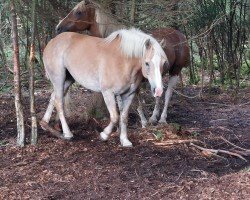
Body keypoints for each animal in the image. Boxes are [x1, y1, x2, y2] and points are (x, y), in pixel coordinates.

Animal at [56, 0, 189, 125]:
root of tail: (179, 34)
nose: (58, 27)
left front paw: (143, 122)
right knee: (158, 94)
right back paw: (153, 117)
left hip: (175, 71)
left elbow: (136, 101)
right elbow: (121, 103)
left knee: (168, 94)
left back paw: (161, 118)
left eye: (78, 12)